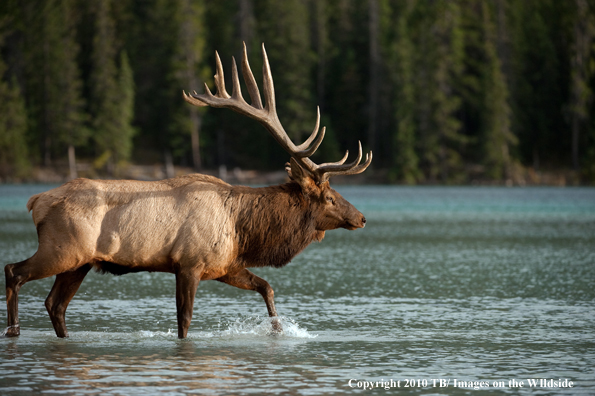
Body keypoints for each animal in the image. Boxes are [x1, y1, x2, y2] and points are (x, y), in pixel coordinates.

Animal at [1, 44, 372, 340]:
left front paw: (278, 329)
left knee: (54, 304)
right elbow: (185, 320)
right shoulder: (189, 263)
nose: (362, 218)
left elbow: (267, 287)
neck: (244, 228)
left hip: (79, 262)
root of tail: (36, 201)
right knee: (15, 272)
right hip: (61, 250)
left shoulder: (225, 265)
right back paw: (14, 330)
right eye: (330, 197)